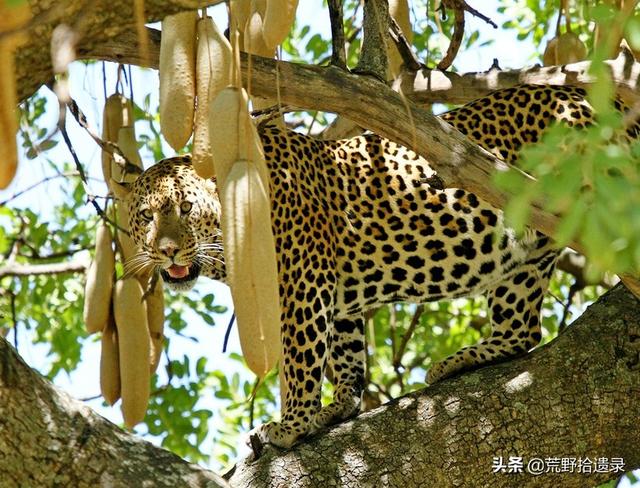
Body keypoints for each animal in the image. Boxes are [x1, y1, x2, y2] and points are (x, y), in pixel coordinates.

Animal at [122, 84, 636, 450]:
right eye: (146, 217)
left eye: (185, 208)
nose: (167, 251)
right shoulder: (336, 294)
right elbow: (344, 353)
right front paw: (337, 407)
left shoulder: (302, 281)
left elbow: (300, 358)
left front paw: (291, 424)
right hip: (524, 263)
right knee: (522, 331)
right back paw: (462, 360)